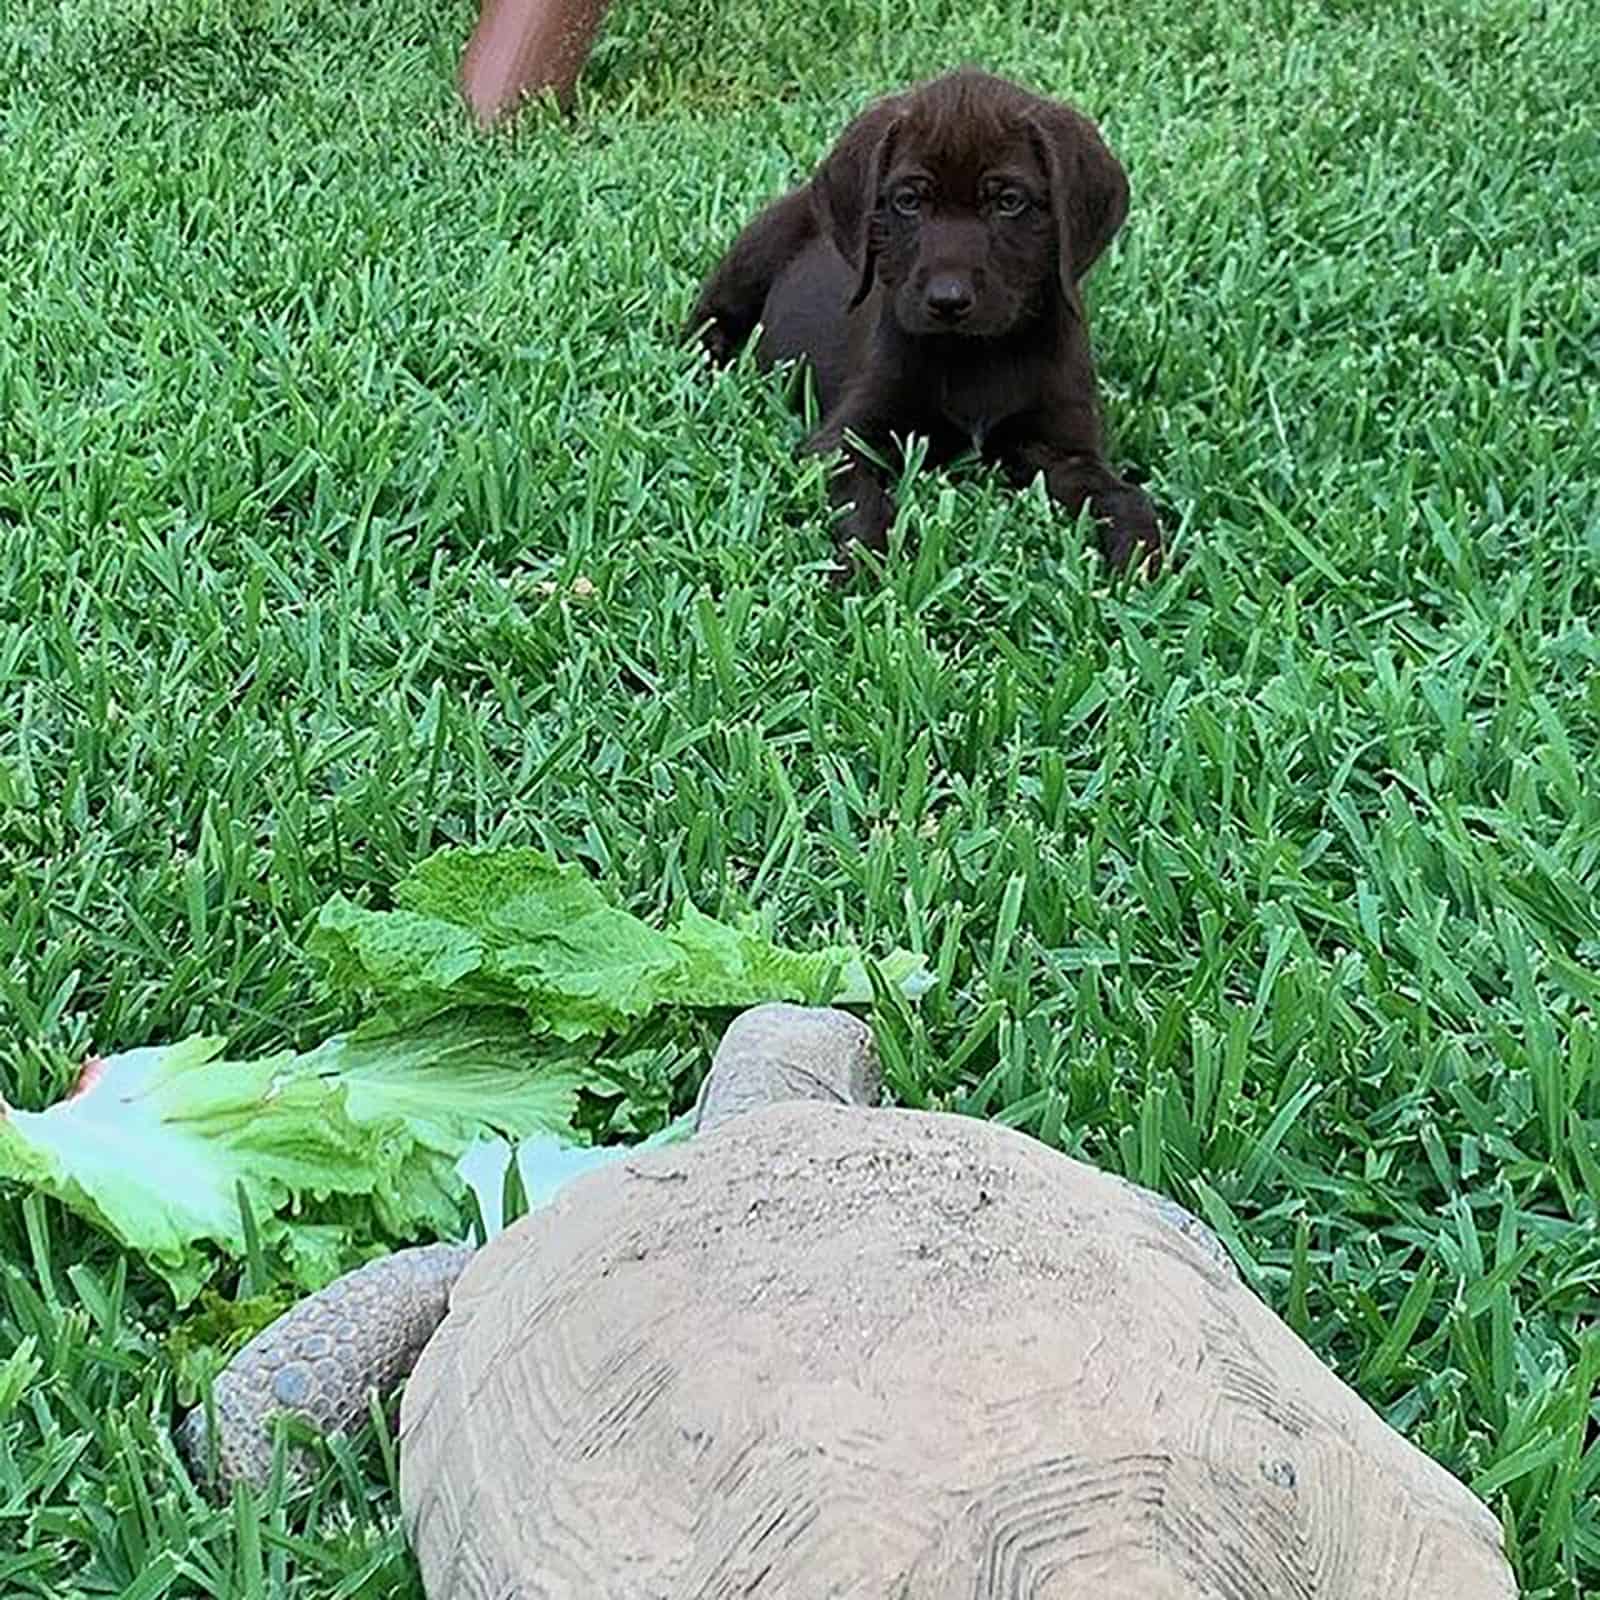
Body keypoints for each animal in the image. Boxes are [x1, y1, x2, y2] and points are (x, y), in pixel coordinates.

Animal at [688, 70, 1164, 582]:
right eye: (909, 200)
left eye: (1009, 201)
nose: (947, 301)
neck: (976, 355)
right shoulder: (846, 437)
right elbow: (861, 502)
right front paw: (863, 564)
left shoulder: (1064, 451)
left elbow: (1121, 495)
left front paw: (1139, 555)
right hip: (758, 248)